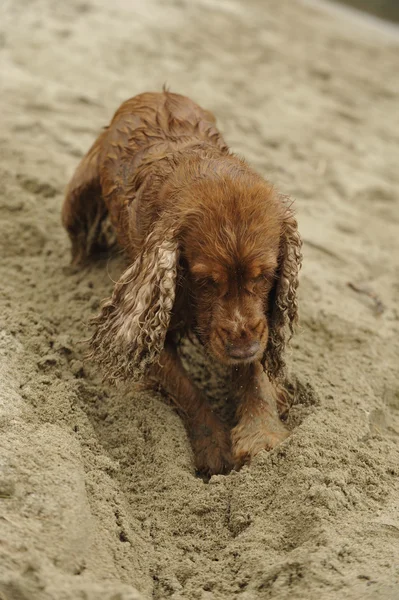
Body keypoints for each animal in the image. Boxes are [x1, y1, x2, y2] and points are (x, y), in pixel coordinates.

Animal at [62, 89, 302, 476]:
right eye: (206, 280)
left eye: (265, 275)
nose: (241, 347)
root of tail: (154, 92)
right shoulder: (150, 321)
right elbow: (189, 391)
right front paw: (214, 446)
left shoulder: (256, 325)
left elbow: (254, 374)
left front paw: (261, 433)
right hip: (76, 199)